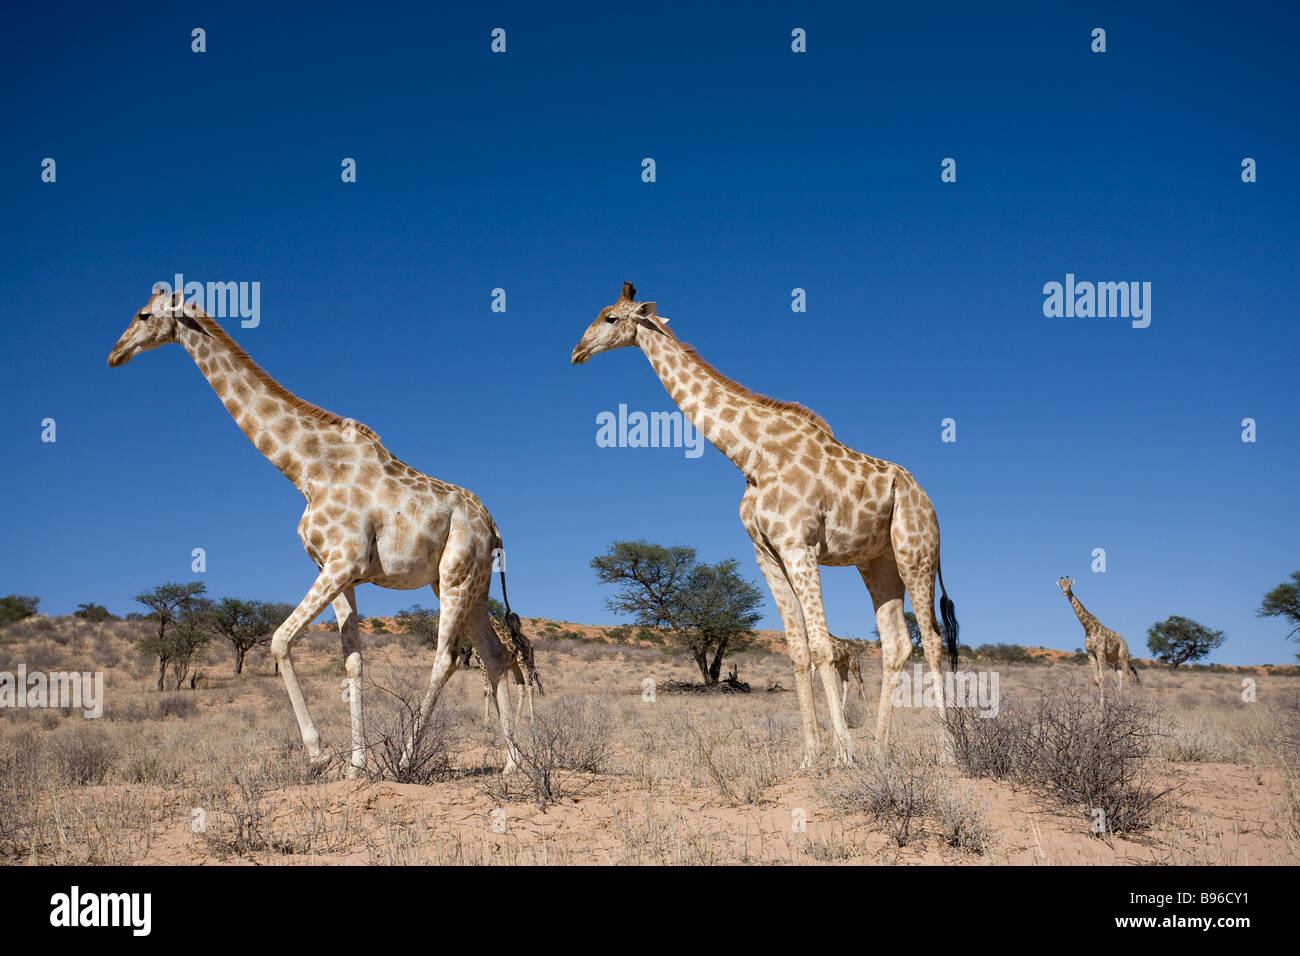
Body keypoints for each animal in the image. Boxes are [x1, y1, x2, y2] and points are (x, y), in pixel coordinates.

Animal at [108, 285, 527, 777]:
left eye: (142, 315)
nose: (115, 354)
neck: (304, 470)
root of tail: (495, 528)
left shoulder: (343, 562)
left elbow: (279, 640)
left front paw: (319, 752)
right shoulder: (338, 570)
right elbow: (353, 662)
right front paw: (355, 766)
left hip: (457, 575)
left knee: (447, 657)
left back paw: (408, 757)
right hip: (466, 584)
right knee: (495, 654)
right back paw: (512, 764)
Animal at [572, 283, 958, 763]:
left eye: (610, 318)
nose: (577, 351)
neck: (750, 454)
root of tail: (927, 500)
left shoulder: (799, 545)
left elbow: (822, 647)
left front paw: (843, 753)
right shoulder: (766, 554)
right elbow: (797, 650)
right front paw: (812, 754)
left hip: (915, 551)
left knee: (934, 640)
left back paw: (946, 752)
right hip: (877, 562)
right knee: (897, 644)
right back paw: (881, 751)